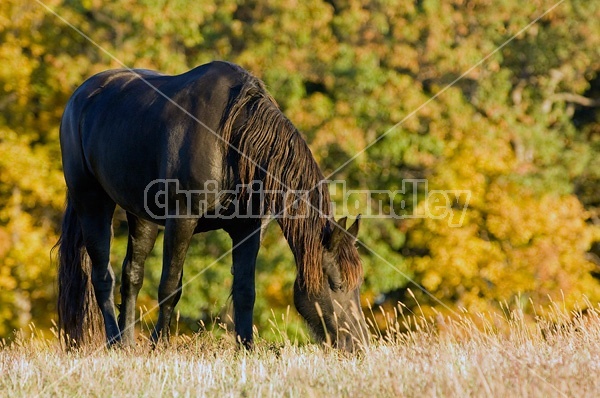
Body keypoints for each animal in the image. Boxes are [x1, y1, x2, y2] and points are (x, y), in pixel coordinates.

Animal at [56, 59, 368, 352]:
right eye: (337, 284)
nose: (359, 345)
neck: (231, 141)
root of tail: (80, 97)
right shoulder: (182, 220)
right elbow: (170, 287)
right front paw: (159, 345)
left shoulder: (248, 229)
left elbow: (245, 291)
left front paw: (247, 348)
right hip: (92, 203)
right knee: (102, 277)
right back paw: (114, 341)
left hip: (141, 215)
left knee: (132, 275)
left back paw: (128, 342)